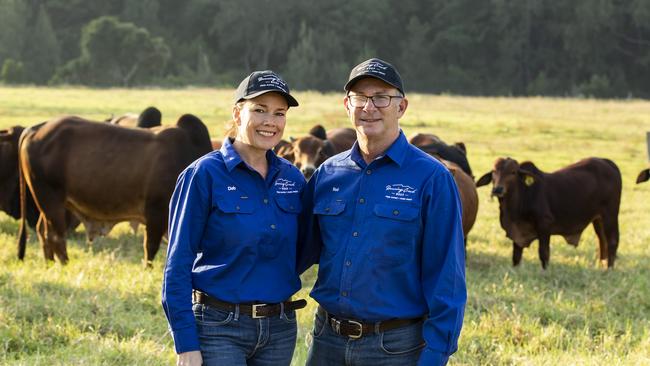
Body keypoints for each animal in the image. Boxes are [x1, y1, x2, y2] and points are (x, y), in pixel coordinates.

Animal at [17, 113, 210, 264]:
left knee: (43, 231)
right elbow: (151, 248)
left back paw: (49, 263)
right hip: (50, 198)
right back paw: (64, 264)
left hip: (49, 201)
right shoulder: (156, 211)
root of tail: (34, 129)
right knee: (56, 236)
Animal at [474, 156, 620, 270]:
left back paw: (609, 269)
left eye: (513, 172)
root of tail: (607, 162)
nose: (497, 189)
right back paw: (602, 266)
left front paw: (545, 272)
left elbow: (544, 253)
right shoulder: (517, 231)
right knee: (602, 240)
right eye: (494, 171)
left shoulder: (544, 225)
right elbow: (516, 255)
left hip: (610, 215)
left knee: (612, 241)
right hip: (598, 219)